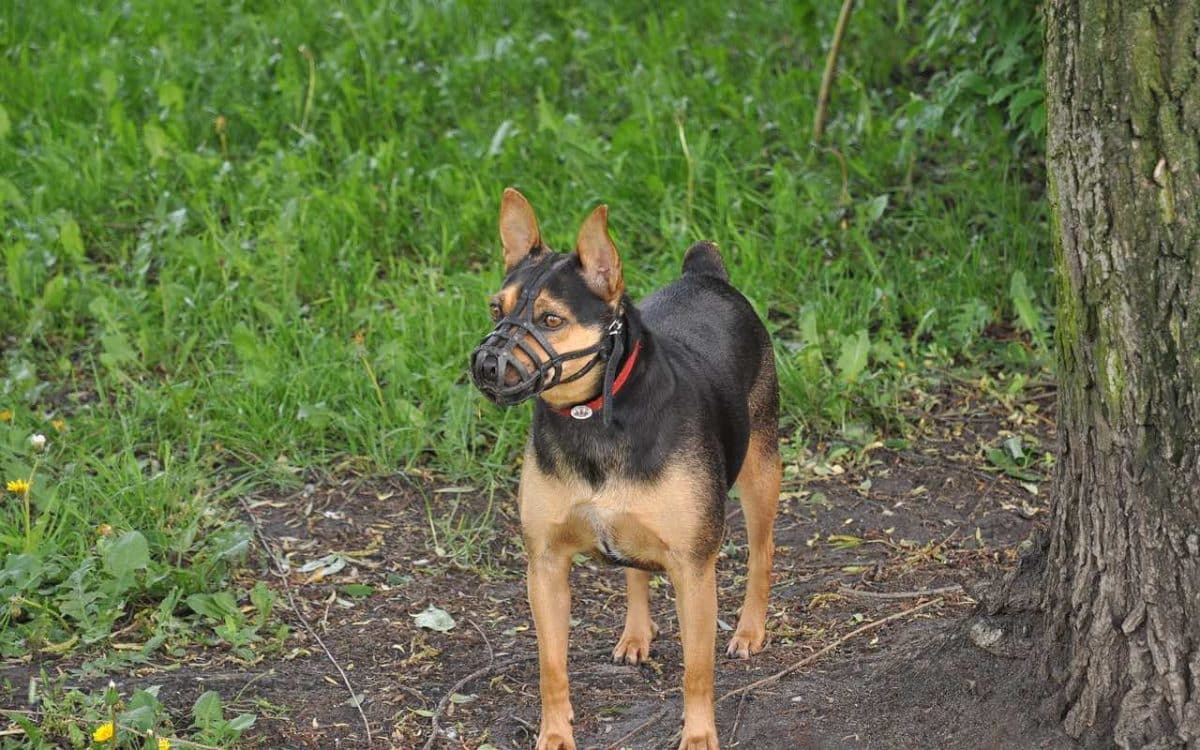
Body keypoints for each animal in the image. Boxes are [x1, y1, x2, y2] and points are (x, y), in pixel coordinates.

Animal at [468, 188, 777, 748]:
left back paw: (749, 629)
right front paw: (554, 735)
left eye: (550, 320)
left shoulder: (694, 569)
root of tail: (705, 274)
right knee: (635, 571)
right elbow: (552, 667)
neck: (590, 419)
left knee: (762, 555)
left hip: (761, 473)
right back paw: (636, 634)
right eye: (495, 309)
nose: (483, 364)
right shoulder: (545, 565)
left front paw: (698, 736)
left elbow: (697, 671)